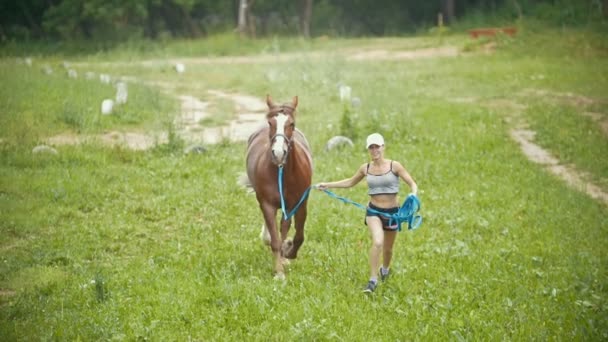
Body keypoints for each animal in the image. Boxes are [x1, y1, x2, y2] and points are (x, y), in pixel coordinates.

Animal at [242, 95, 314, 280]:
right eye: (270, 123)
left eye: (292, 124)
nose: (279, 153)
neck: (283, 173)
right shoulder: (267, 204)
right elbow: (274, 240)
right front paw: (279, 273)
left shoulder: (299, 204)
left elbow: (298, 236)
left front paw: (288, 253)